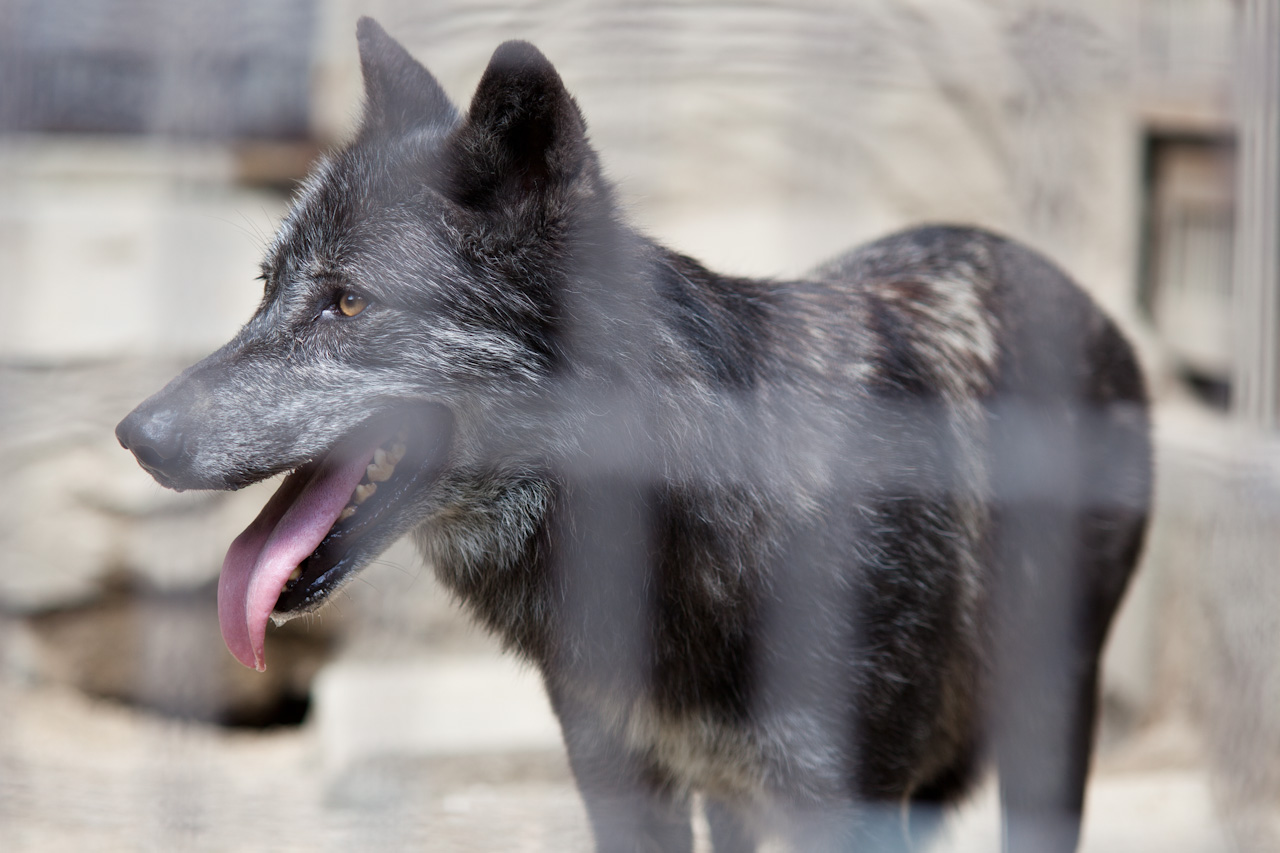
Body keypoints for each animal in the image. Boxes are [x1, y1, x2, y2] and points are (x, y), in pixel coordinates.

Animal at [117, 19, 1152, 850]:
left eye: (348, 302)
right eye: (265, 289)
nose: (135, 435)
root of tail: (1083, 299)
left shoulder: (851, 806)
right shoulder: (621, 780)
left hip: (1046, 735)